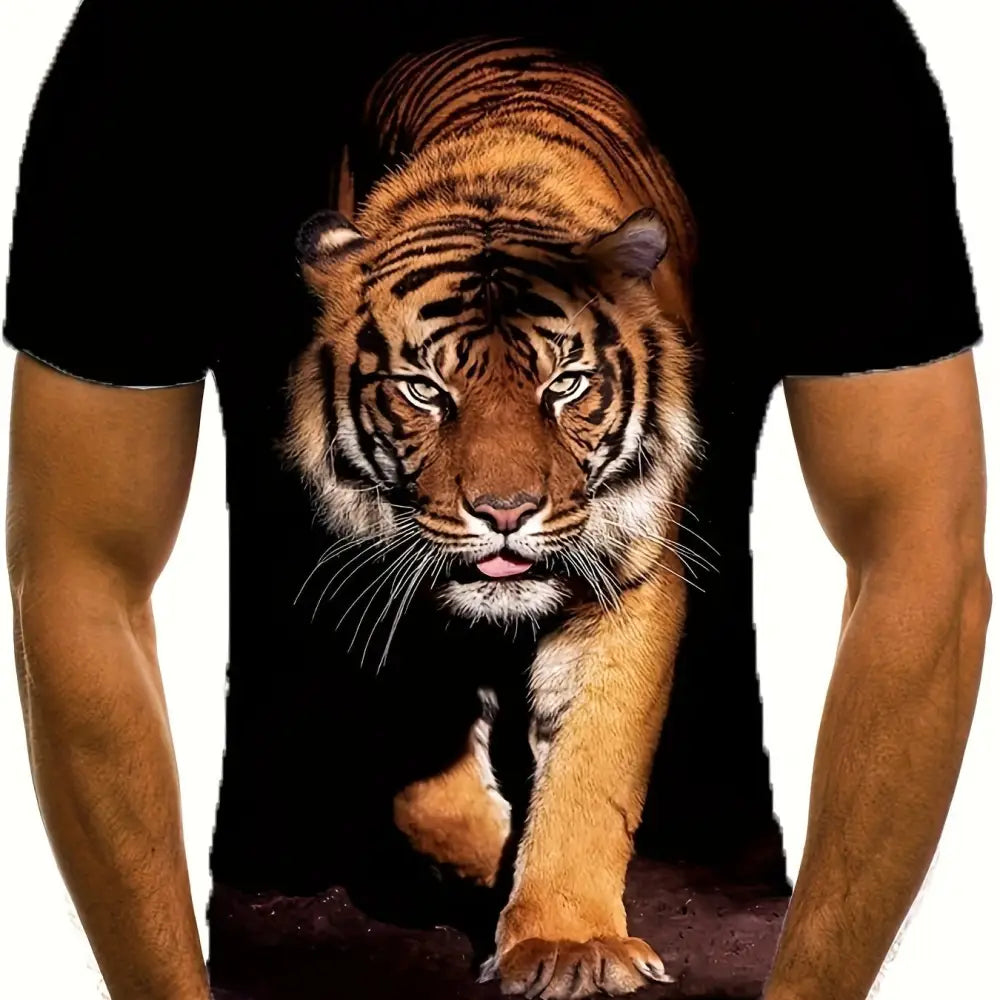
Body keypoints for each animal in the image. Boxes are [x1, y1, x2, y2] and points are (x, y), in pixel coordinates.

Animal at [282, 36, 701, 999]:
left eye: (567, 386)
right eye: (425, 391)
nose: (506, 513)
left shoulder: (630, 581)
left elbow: (591, 772)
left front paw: (569, 944)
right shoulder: (382, 582)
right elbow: (424, 787)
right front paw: (491, 862)